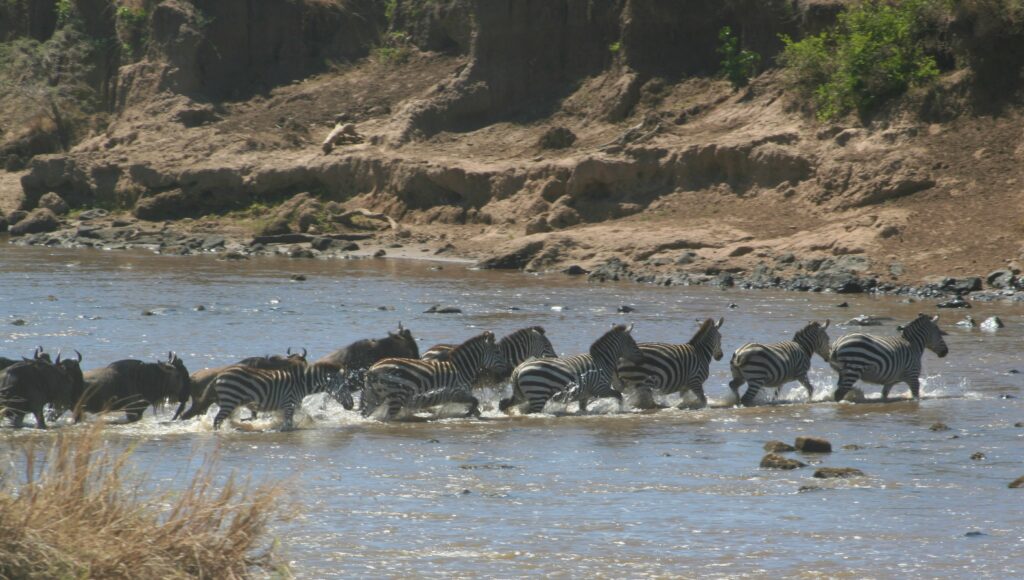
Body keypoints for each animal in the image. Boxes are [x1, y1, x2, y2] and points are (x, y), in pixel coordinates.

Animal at [211, 364, 348, 432]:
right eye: (344, 388)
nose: (350, 405)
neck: (301, 384)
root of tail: (220, 375)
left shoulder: (288, 406)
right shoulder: (289, 403)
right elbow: (288, 425)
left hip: (231, 402)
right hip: (230, 400)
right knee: (217, 420)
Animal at [360, 332, 503, 422]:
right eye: (497, 352)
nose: (503, 373)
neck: (461, 368)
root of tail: (373, 369)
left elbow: (476, 407)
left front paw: (473, 415)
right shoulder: (457, 393)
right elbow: (475, 402)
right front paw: (466, 414)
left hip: (373, 396)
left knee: (366, 414)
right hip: (396, 396)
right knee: (387, 419)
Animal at [497, 325, 638, 416]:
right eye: (633, 344)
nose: (640, 357)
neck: (603, 361)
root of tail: (518, 369)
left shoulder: (585, 395)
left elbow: (583, 409)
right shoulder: (600, 389)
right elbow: (618, 395)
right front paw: (620, 409)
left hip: (521, 395)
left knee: (504, 404)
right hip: (538, 393)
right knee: (530, 412)